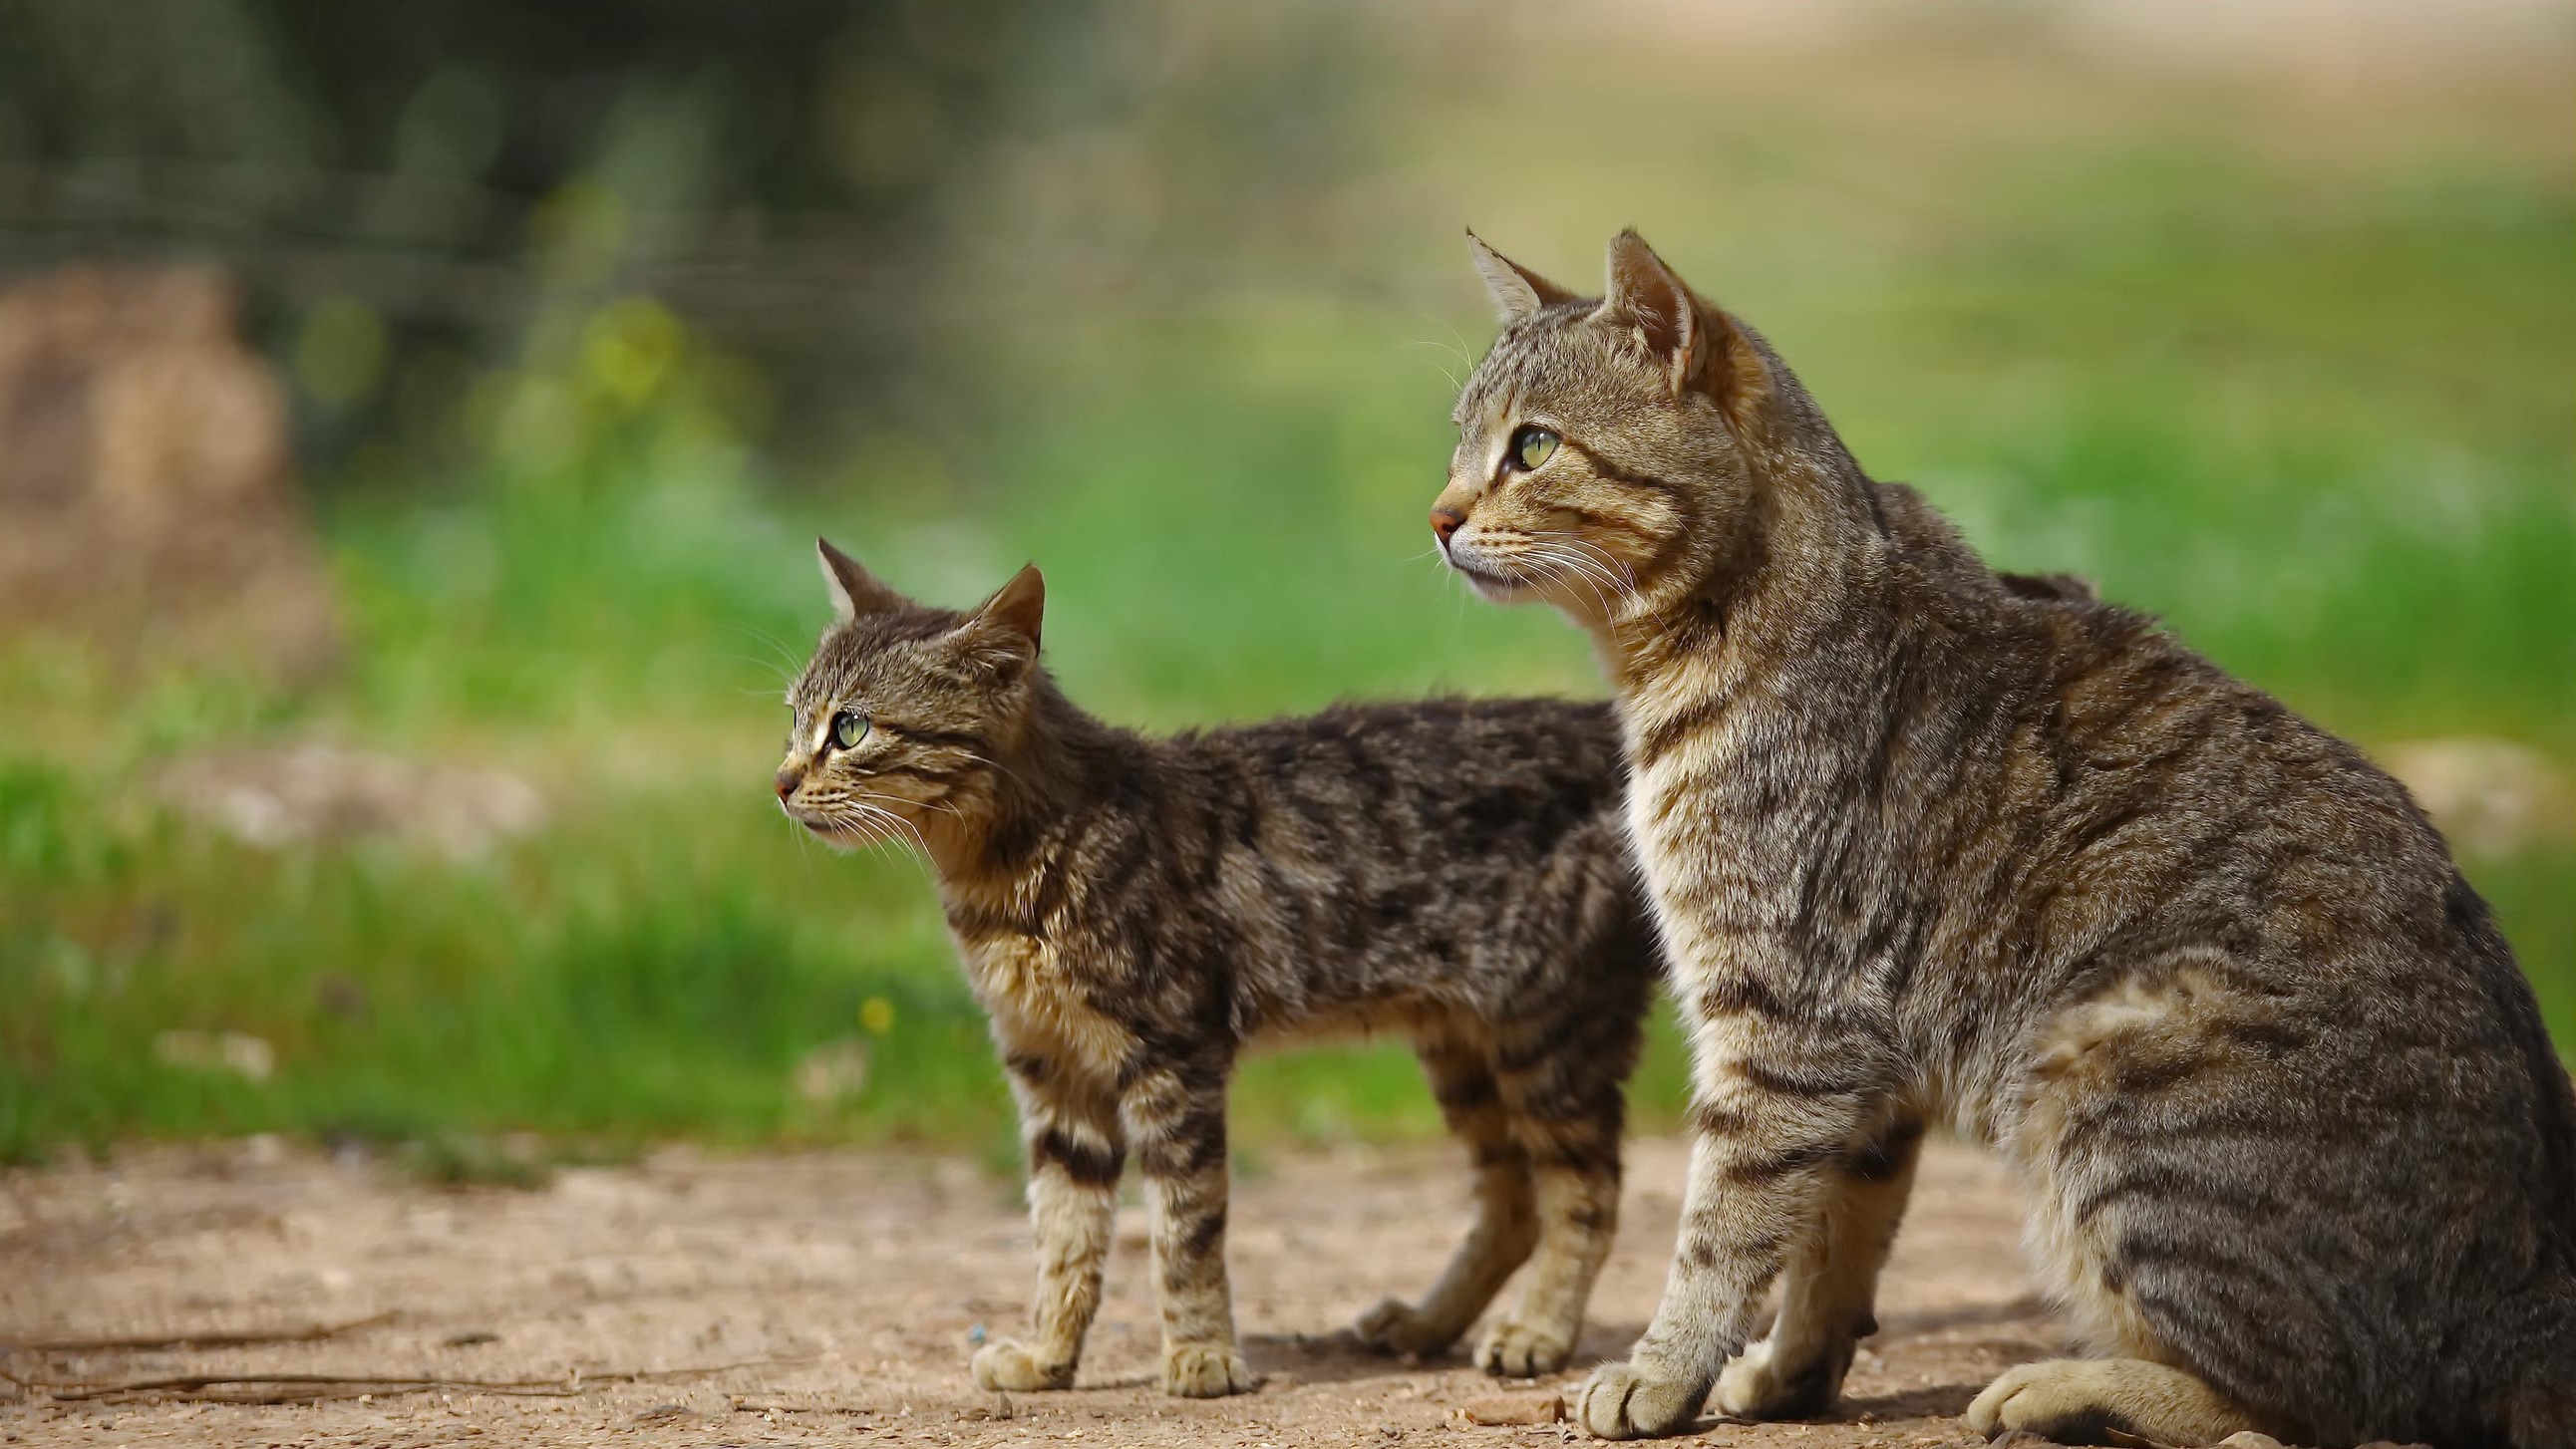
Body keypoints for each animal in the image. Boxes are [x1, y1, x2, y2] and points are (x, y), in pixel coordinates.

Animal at [768, 537, 1648, 1399]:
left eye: (850, 728)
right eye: (793, 720)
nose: (780, 782)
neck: (1007, 877)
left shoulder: (1172, 1054)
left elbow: (1183, 1230)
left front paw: (1200, 1354)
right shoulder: (1050, 1069)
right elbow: (1064, 1232)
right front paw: (1049, 1356)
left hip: (1547, 1032)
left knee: (1587, 1192)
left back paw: (1537, 1331)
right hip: (1463, 1047)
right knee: (1513, 1201)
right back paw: (1429, 1325)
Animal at [1432, 232, 2576, 1441]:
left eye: (1532, 446)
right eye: (1456, 443)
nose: (1438, 516)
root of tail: (2538, 1287)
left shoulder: (1784, 1019)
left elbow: (1726, 1223)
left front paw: (1664, 1367)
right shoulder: (1862, 1067)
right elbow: (1833, 1243)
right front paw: (1785, 1372)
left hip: (2106, 1074)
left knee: (2300, 1400)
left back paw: (2068, 1383)